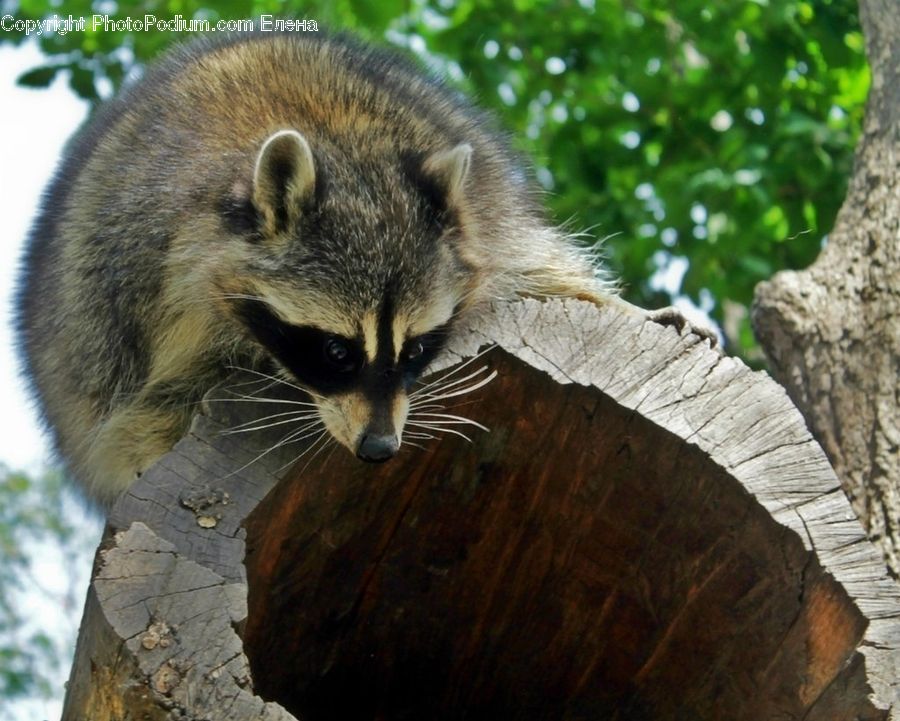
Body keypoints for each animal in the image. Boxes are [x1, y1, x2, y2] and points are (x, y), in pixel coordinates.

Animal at [16, 31, 619, 508]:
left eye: (417, 350)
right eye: (336, 351)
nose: (379, 449)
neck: (339, 147)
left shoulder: (490, 221)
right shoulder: (132, 282)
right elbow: (137, 414)